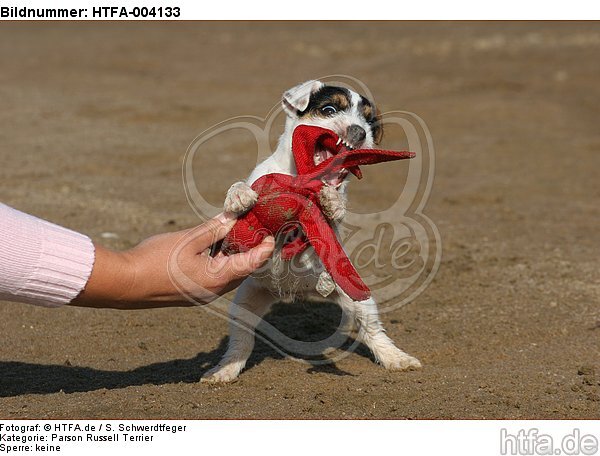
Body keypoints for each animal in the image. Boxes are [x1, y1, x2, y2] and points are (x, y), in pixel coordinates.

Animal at [202, 80, 422, 382]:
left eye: (369, 121)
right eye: (329, 109)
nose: (359, 131)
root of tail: (292, 292)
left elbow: (334, 213)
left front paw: (331, 201)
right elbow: (241, 189)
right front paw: (238, 195)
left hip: (358, 298)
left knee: (373, 331)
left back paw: (396, 358)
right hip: (245, 304)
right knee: (242, 341)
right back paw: (225, 370)